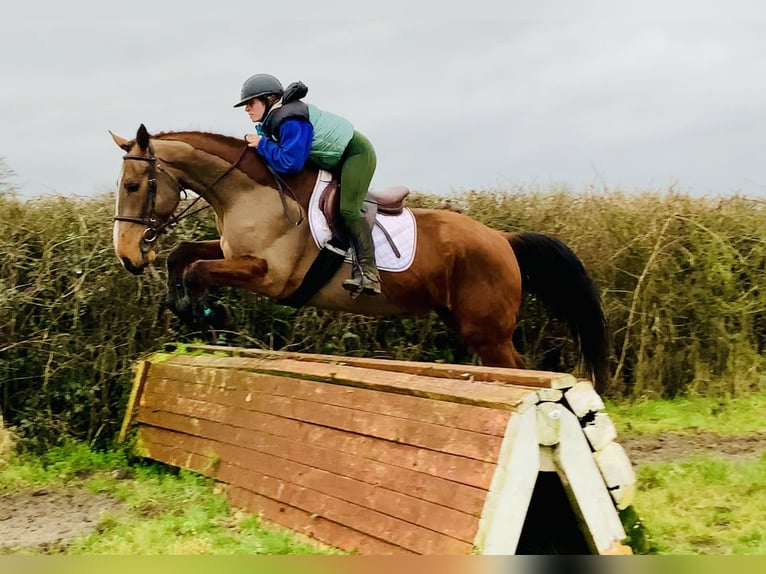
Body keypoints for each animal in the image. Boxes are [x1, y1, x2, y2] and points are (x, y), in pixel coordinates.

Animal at [111, 124, 611, 392]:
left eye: (133, 185)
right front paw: (185, 306)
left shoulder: (269, 275)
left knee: (515, 370)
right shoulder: (234, 253)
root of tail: (503, 239)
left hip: (487, 331)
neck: (248, 193)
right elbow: (184, 255)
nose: (127, 256)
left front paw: (206, 315)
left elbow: (198, 270)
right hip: (466, 322)